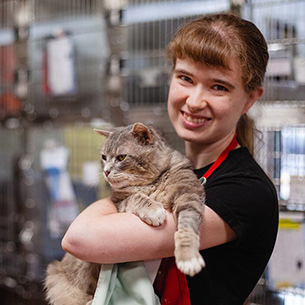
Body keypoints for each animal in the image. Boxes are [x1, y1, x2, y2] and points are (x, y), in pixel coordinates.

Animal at [44, 122, 204, 302]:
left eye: (121, 157)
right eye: (104, 157)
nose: (106, 171)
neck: (150, 183)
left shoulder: (188, 195)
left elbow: (187, 228)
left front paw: (188, 257)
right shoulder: (119, 202)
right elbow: (136, 198)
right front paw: (154, 210)